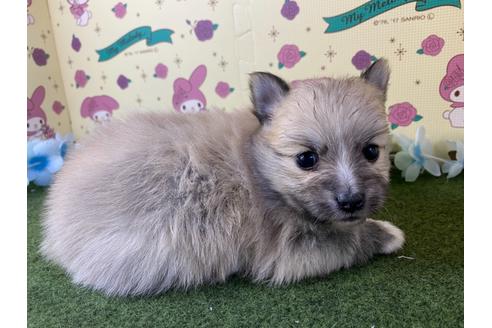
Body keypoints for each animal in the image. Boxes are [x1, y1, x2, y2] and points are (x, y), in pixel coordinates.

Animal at [41, 59, 404, 298]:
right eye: (306, 159)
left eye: (371, 152)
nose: (351, 201)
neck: (262, 169)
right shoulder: (290, 252)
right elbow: (349, 239)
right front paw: (387, 234)